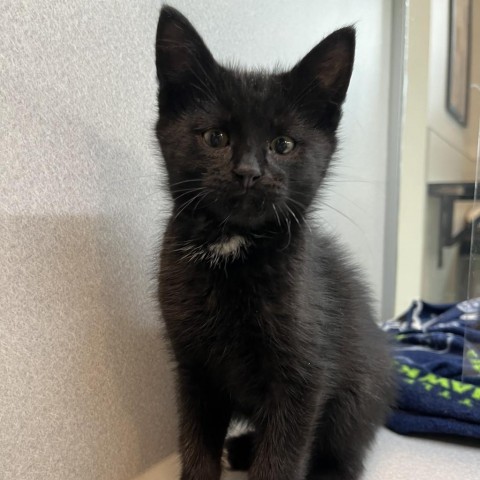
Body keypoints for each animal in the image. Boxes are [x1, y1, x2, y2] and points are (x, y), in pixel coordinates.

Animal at [156, 4, 396, 480]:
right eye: (216, 137)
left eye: (283, 144)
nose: (248, 172)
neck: (231, 245)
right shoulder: (193, 368)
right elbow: (195, 440)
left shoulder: (303, 378)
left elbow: (283, 454)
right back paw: (242, 448)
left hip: (358, 395)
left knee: (343, 451)